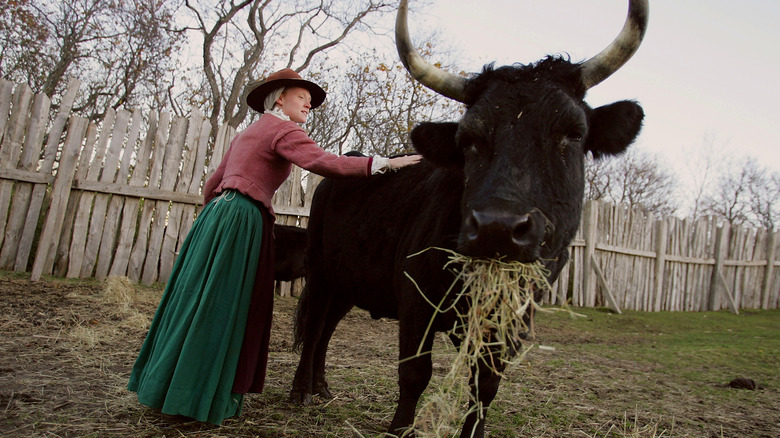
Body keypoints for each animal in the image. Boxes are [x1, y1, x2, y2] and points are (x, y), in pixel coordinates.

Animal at [290, 1, 648, 436]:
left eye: (574, 133)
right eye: (467, 139)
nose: (498, 227)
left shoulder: (510, 321)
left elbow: (485, 386)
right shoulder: (415, 301)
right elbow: (415, 374)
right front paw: (399, 428)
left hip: (351, 280)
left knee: (327, 327)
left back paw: (321, 386)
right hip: (321, 271)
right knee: (314, 326)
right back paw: (301, 391)